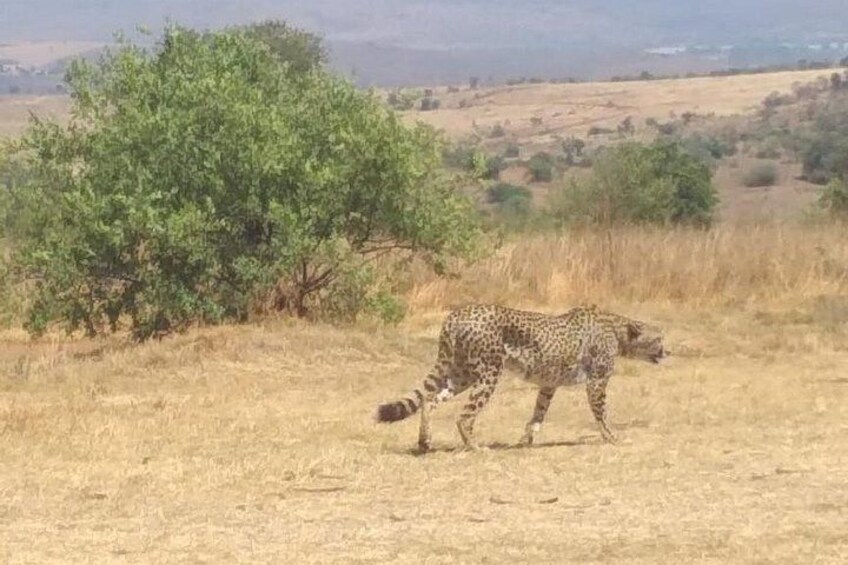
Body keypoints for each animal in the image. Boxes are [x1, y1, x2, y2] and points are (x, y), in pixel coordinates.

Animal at [375, 304, 666, 452]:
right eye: (659, 339)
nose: (667, 351)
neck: (618, 331)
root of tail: (457, 312)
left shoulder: (549, 384)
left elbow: (538, 413)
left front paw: (526, 441)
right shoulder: (596, 382)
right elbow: (602, 413)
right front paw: (614, 438)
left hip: (462, 374)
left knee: (430, 401)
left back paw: (425, 441)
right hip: (489, 373)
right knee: (464, 415)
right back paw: (476, 447)